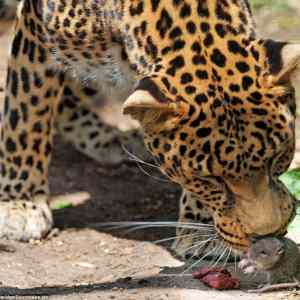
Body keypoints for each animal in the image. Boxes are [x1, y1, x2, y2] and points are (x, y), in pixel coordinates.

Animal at [0, 0, 298, 258]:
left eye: (276, 158)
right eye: (210, 178)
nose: (266, 234)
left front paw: (201, 227)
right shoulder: (37, 30)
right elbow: (26, 112)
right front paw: (20, 204)